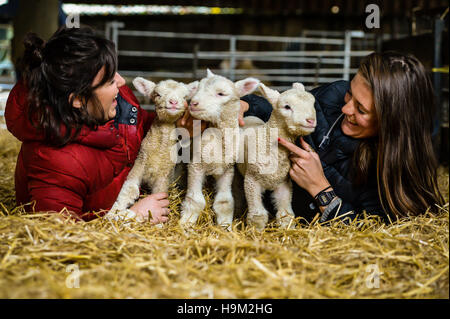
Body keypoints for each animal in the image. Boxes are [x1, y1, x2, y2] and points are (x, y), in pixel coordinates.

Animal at [107, 78, 199, 222]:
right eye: (157, 95)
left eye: (185, 97)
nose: (173, 102)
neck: (159, 151)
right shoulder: (140, 161)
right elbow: (129, 189)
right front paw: (113, 212)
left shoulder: (164, 176)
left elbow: (159, 196)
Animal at [178, 69, 258, 230]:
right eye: (199, 88)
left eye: (221, 93)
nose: (193, 103)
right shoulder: (196, 165)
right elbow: (195, 200)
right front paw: (186, 222)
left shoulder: (227, 170)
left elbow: (224, 202)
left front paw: (225, 227)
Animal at [237, 82, 314, 232]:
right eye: (287, 106)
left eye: (313, 103)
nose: (310, 120)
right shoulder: (251, 181)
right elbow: (257, 216)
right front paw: (255, 232)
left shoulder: (284, 183)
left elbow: (286, 214)